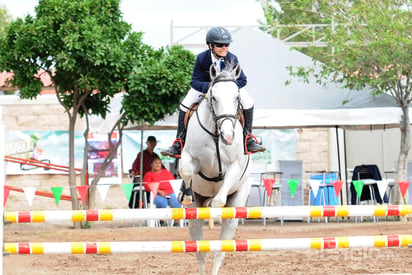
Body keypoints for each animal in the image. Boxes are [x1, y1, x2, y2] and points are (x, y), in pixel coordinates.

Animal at [179, 63, 251, 275]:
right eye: (214, 97)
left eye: (237, 98)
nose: (228, 136)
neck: (216, 133)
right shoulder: (190, 158)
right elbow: (186, 171)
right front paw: (186, 194)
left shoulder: (234, 167)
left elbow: (219, 200)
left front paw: (216, 210)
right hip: (195, 215)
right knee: (200, 250)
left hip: (237, 204)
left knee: (220, 249)